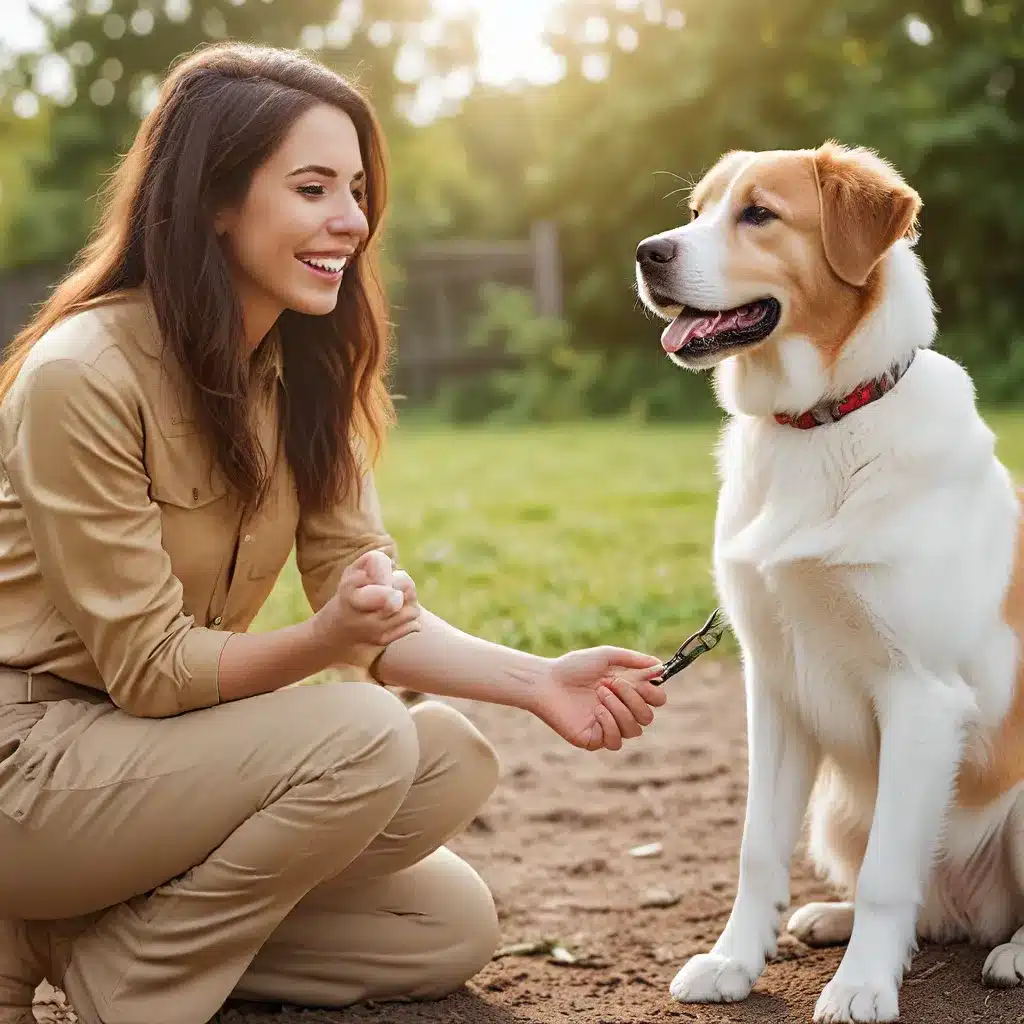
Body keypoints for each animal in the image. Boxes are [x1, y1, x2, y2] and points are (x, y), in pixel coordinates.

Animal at [630, 140, 1024, 1019]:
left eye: (758, 214)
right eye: (698, 210)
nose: (647, 253)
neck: (824, 424)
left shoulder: (922, 696)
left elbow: (887, 875)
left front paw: (863, 986)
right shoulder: (774, 685)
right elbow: (757, 849)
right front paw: (734, 963)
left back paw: (1013, 951)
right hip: (838, 810)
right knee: (930, 909)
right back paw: (832, 920)